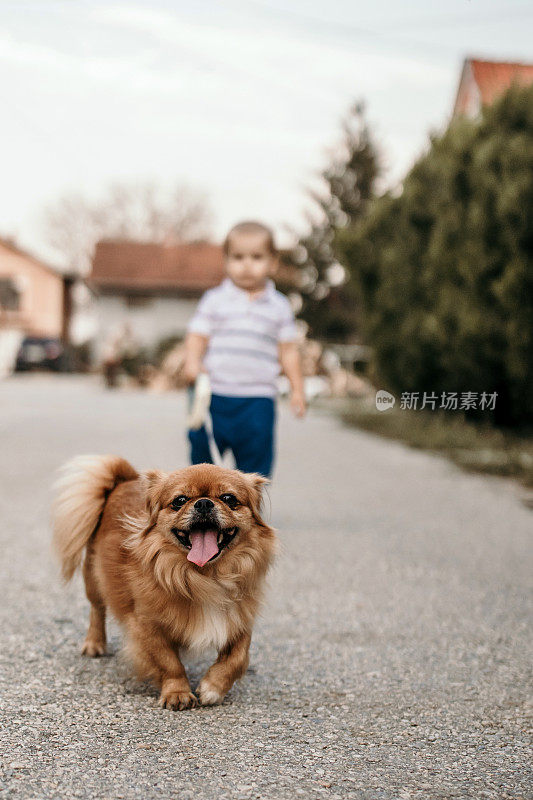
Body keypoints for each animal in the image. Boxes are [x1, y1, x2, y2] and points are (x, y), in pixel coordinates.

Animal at [51, 460, 274, 708]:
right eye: (179, 500)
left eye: (229, 499)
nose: (204, 503)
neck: (204, 577)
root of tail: (123, 480)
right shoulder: (148, 626)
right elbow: (169, 663)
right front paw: (177, 693)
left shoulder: (239, 619)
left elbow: (237, 657)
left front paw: (213, 688)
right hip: (94, 579)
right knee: (97, 610)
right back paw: (94, 644)